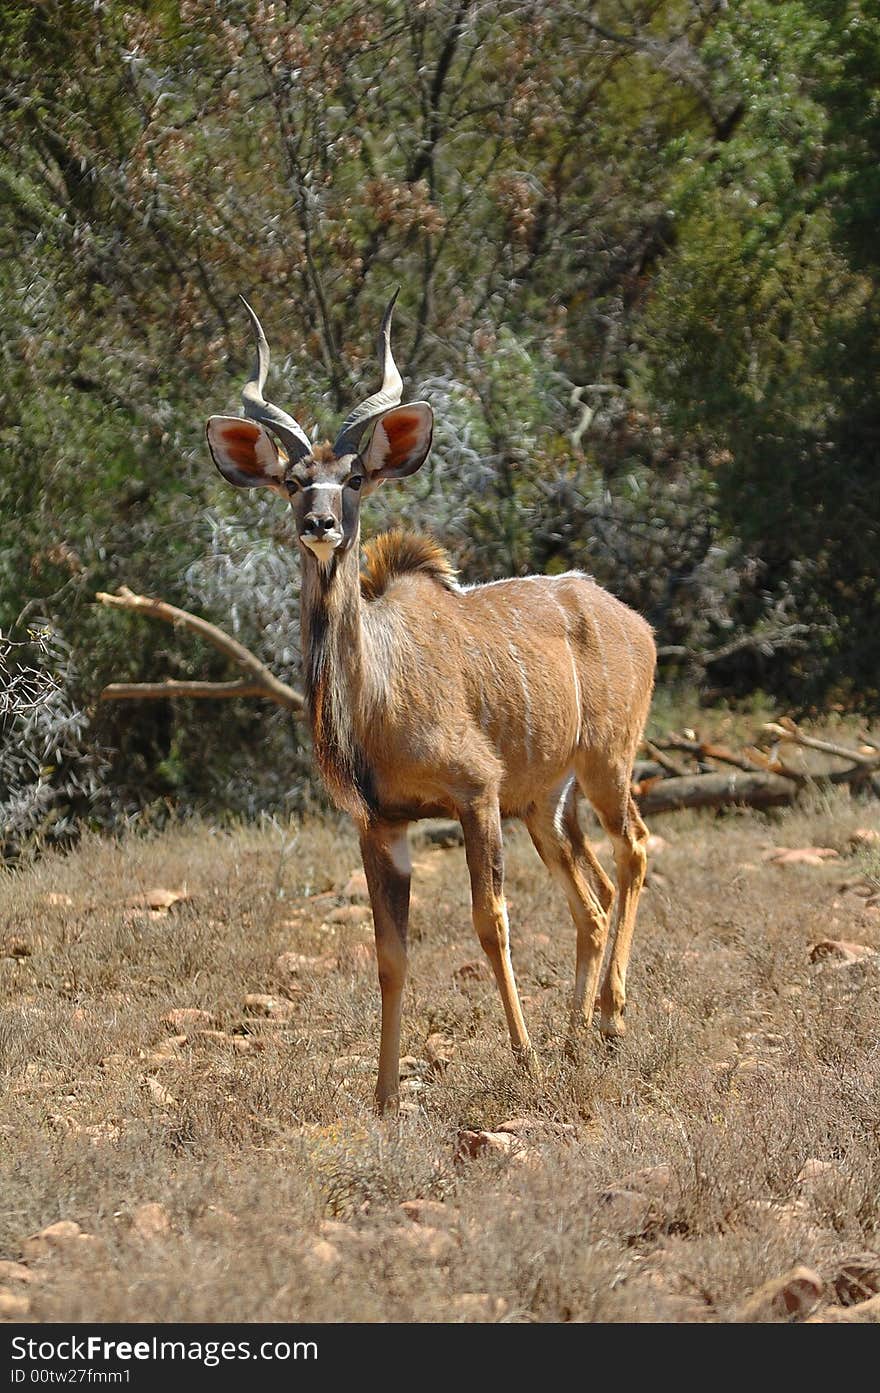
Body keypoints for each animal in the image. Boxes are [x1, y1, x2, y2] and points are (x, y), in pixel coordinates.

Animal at [206, 291, 654, 1108]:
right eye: (291, 480)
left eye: (354, 476)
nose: (319, 524)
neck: (374, 704)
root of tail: (633, 621)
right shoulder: (381, 825)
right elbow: (390, 952)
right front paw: (384, 1097)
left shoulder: (475, 795)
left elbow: (490, 922)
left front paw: (525, 1060)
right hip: (545, 803)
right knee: (593, 898)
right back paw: (579, 1033)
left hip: (605, 764)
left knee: (632, 850)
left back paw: (608, 1020)